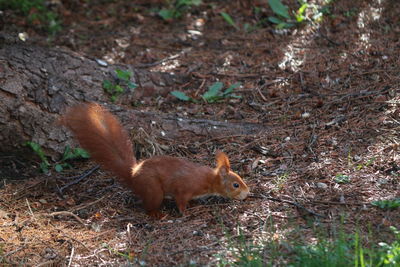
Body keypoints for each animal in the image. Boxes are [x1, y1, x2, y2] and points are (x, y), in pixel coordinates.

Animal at [61, 102, 250, 218]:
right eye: (236, 184)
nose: (248, 193)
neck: (208, 179)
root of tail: (133, 175)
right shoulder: (184, 188)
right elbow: (180, 200)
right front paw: (185, 212)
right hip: (153, 190)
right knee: (148, 206)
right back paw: (156, 214)